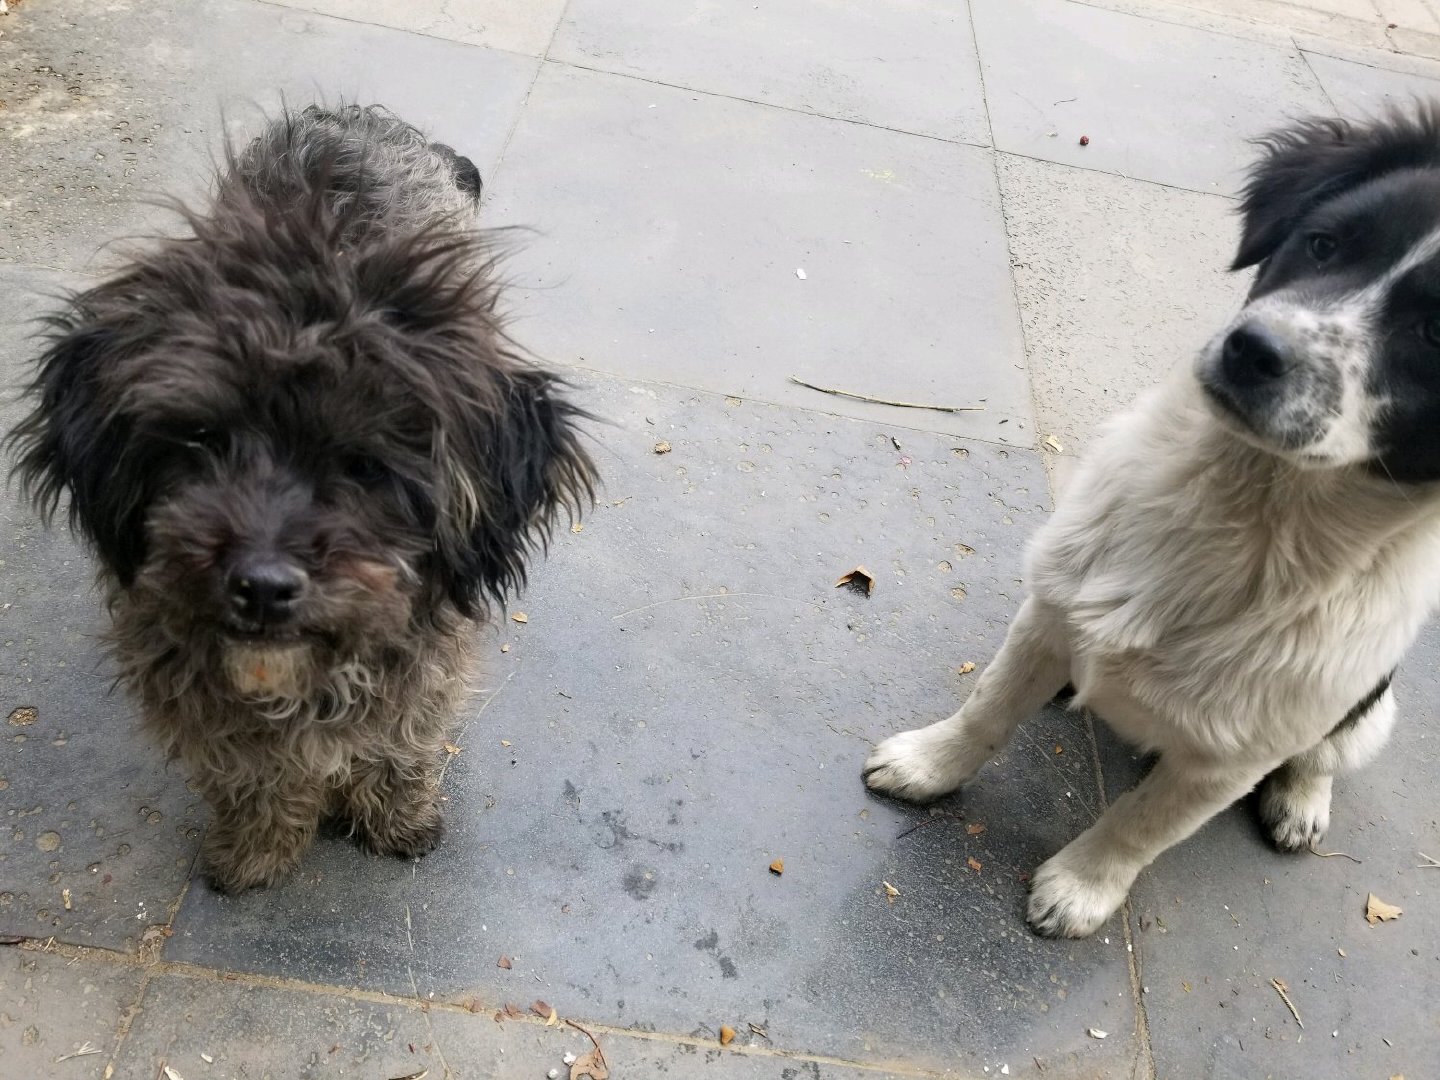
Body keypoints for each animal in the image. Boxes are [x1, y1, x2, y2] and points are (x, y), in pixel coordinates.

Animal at [8, 105, 593, 892]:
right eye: (200, 439)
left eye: (364, 464)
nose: (260, 587)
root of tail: (353, 115)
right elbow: (251, 775)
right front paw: (256, 850)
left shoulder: (425, 664)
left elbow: (403, 740)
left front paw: (396, 819)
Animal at [864, 105, 1440, 944]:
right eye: (1323, 243)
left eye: (1436, 335)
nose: (1251, 350)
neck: (1248, 512)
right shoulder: (1051, 607)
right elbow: (988, 707)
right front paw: (928, 764)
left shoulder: (1227, 759)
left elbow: (1143, 823)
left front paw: (1081, 887)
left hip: (1368, 707)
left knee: (1326, 753)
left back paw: (1301, 800)